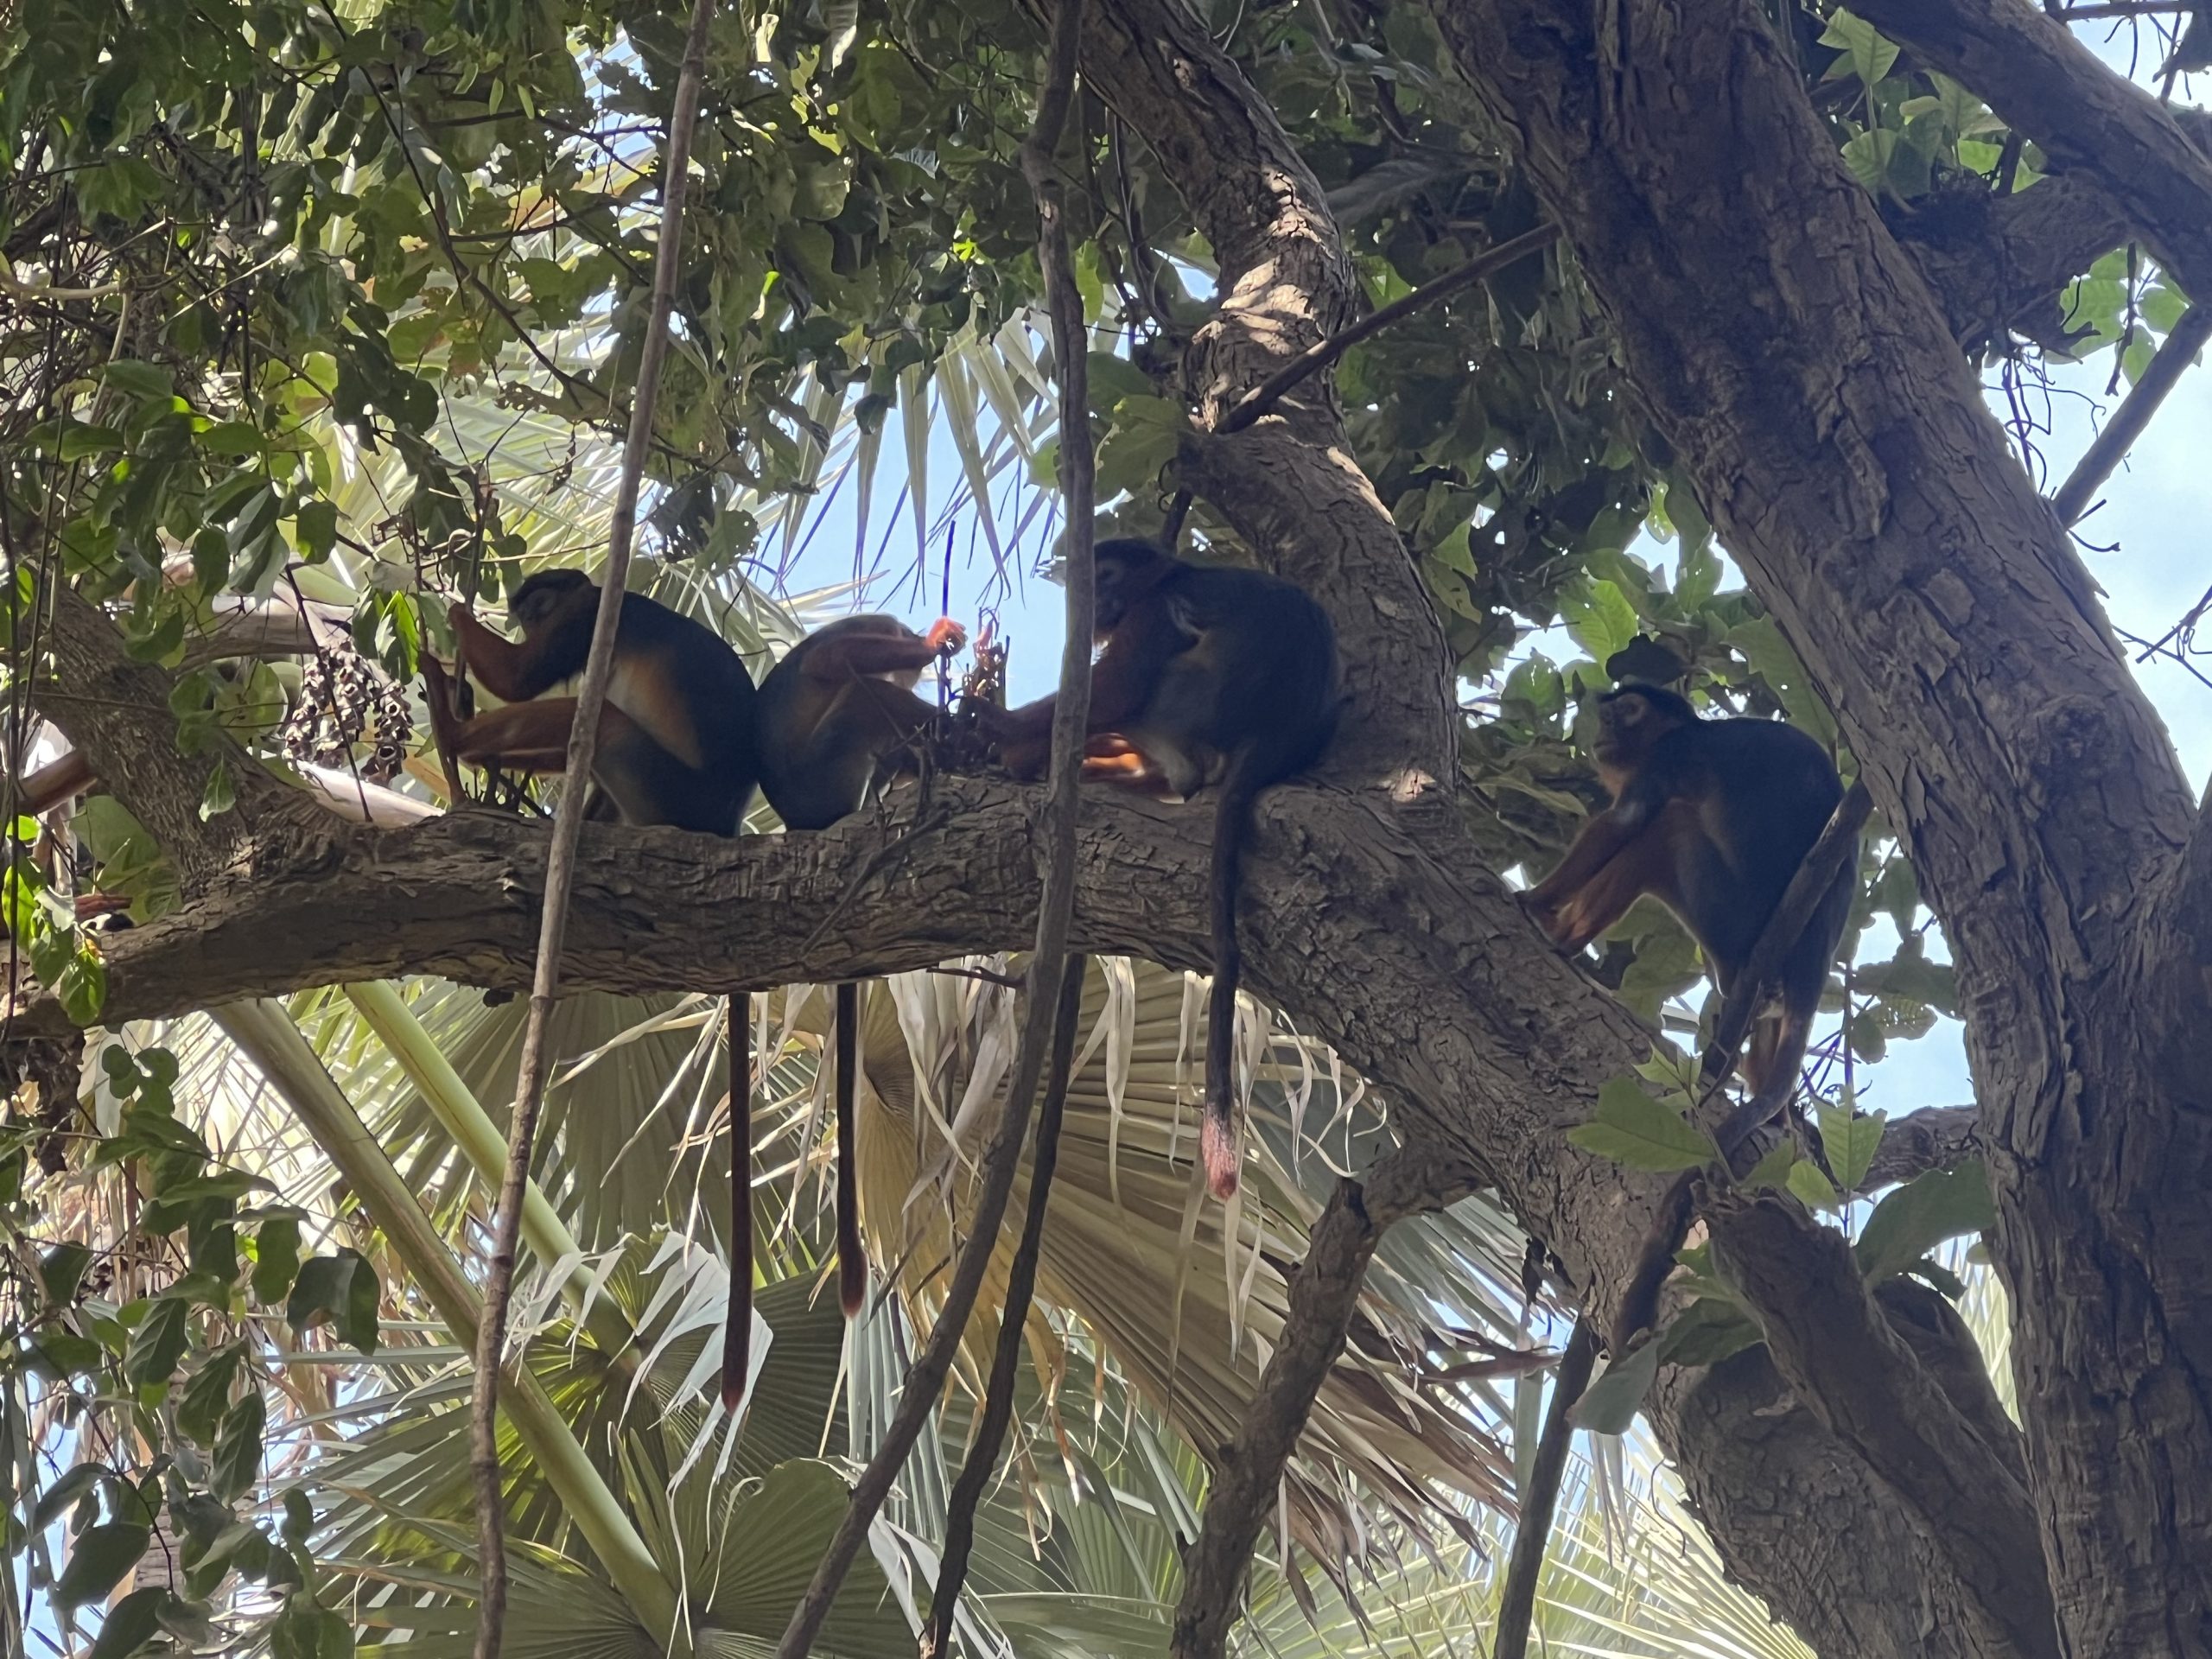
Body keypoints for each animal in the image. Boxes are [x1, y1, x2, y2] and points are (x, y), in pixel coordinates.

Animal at [420, 570, 760, 836]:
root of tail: (725, 822)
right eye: (527, 617)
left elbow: (517, 678)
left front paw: (456, 611)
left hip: (673, 796)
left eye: (539, 605)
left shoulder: (584, 612)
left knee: (602, 721)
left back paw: (453, 734)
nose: (531, 622)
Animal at [973, 539, 1344, 1203]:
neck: (1172, 574)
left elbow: (1115, 691)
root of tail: (1276, 739)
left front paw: (997, 725)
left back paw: (1037, 756)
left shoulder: (1152, 612)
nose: (1100, 603)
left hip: (1190, 698)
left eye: (1109, 577)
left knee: (1144, 710)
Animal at [1513, 681, 1858, 1353]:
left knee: (1663, 830)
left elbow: (1621, 825)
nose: (1602, 729)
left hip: (1724, 914)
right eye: (1607, 714)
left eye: (1626, 712)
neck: (1690, 730)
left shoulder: (1666, 761)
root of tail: (1814, 946)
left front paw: (1531, 900)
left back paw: (1559, 936)